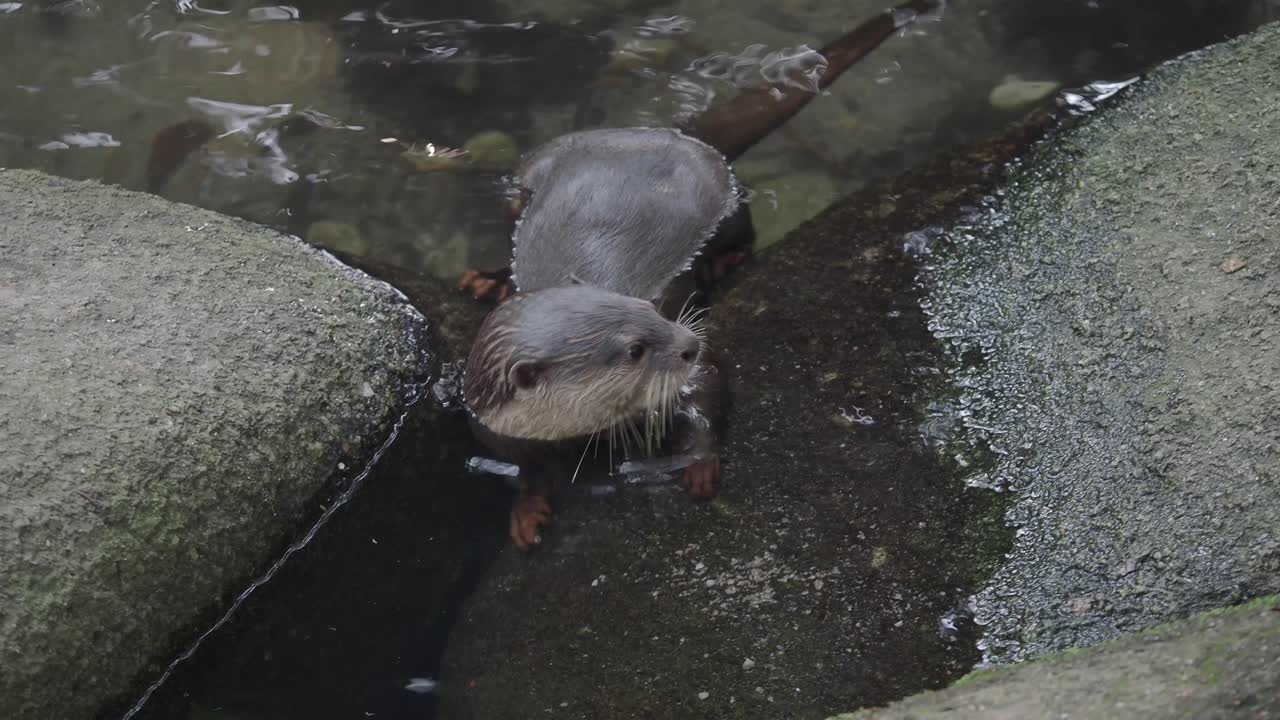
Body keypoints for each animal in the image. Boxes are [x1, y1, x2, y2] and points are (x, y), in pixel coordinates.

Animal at [461, 1, 944, 549]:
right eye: (634, 350)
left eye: (648, 309)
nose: (688, 342)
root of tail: (675, 133)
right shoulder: (495, 433)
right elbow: (526, 473)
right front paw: (526, 510)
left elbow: (709, 383)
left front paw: (698, 462)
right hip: (525, 184)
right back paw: (490, 278)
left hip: (725, 199)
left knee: (744, 227)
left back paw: (720, 262)